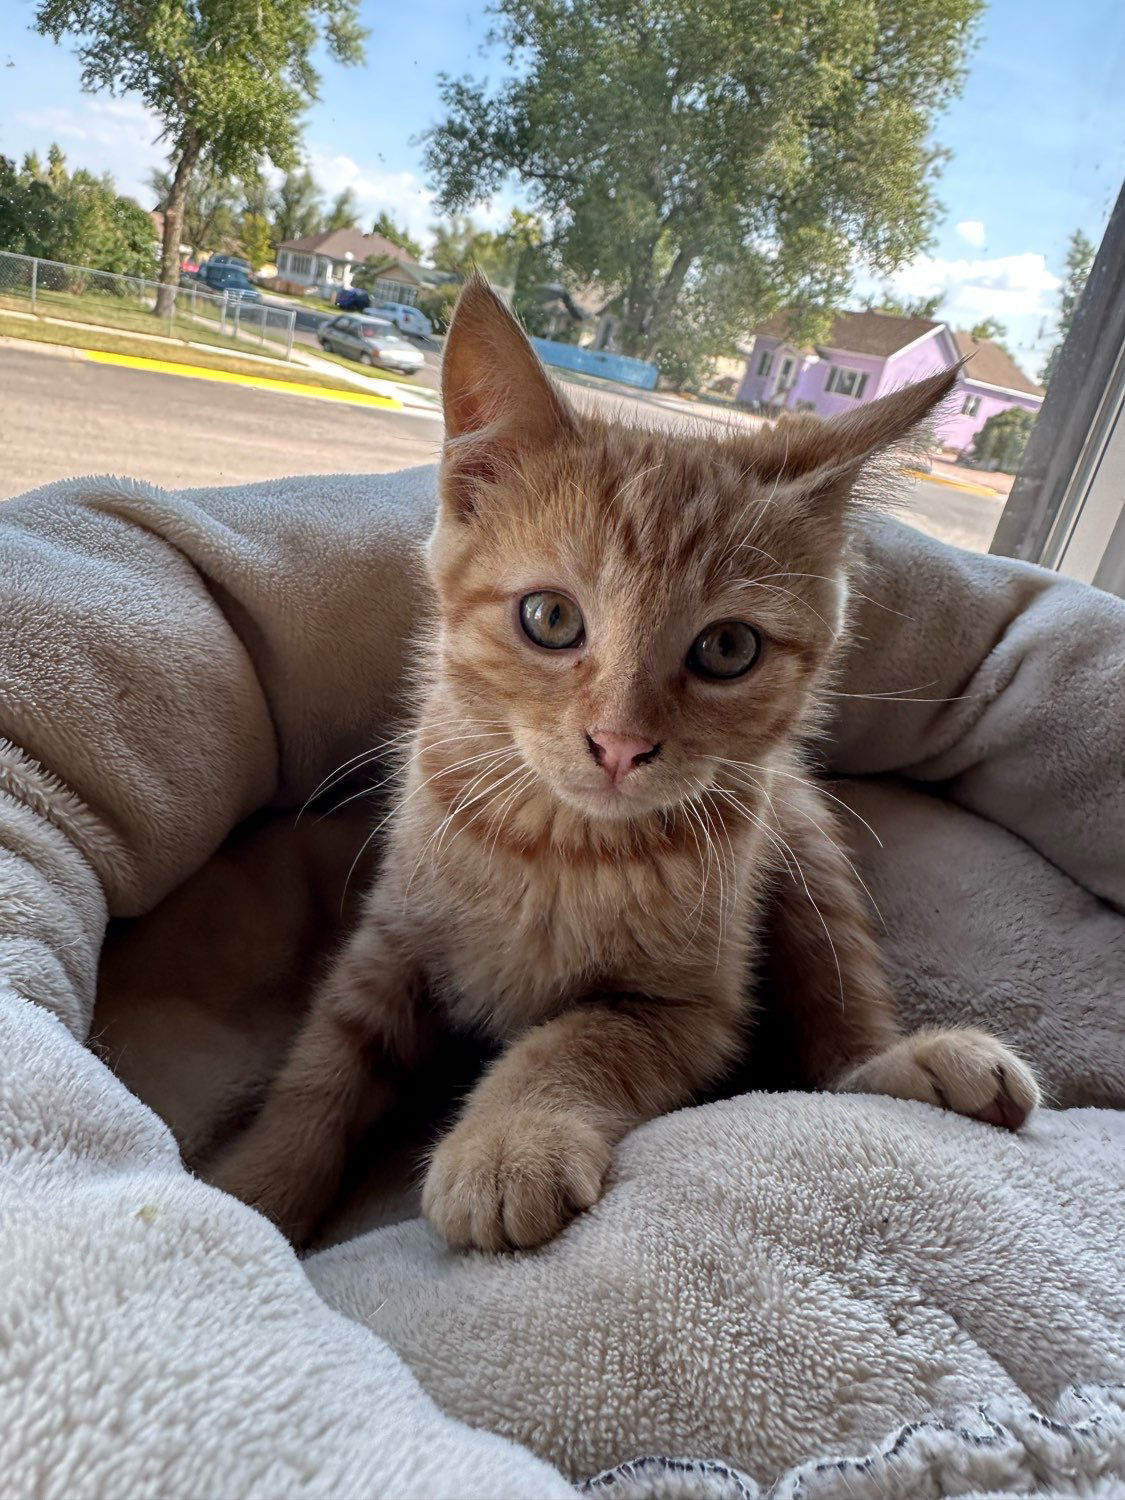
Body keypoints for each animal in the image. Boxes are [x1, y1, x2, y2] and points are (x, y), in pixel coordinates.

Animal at [210, 276, 1038, 1248]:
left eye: (726, 648)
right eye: (550, 619)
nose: (619, 742)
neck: (560, 847)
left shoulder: (687, 1011)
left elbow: (577, 1042)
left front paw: (506, 1142)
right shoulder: (391, 941)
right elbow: (323, 1066)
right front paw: (252, 1189)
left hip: (805, 854)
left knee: (837, 1038)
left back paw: (911, 1066)